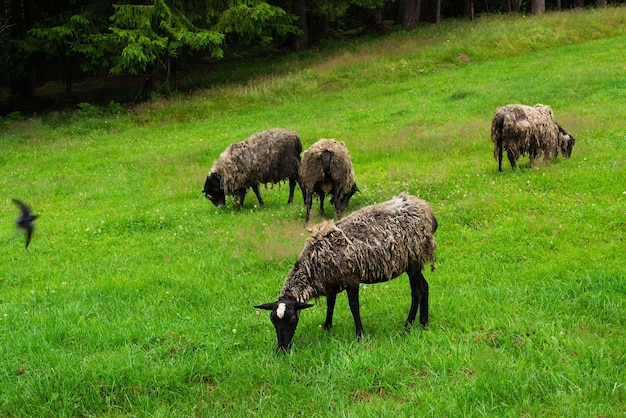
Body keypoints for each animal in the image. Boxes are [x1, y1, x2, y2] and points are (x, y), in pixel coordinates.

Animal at [254, 194, 434, 352]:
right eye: (272, 319)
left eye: (292, 319)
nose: (282, 347)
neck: (313, 264)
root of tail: (426, 210)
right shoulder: (331, 281)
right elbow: (330, 303)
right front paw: (327, 327)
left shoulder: (351, 278)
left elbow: (353, 306)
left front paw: (360, 334)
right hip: (414, 262)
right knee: (424, 287)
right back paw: (424, 323)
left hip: (413, 260)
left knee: (416, 293)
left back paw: (407, 326)